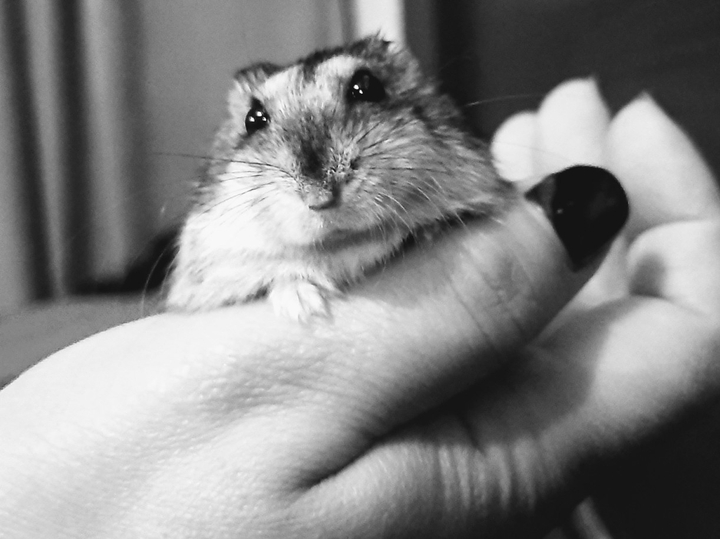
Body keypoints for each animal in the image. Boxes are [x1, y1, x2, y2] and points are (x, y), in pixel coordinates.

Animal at [166, 36, 515, 320]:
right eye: (253, 119)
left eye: (367, 86)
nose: (319, 198)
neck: (341, 247)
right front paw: (304, 306)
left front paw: (431, 231)